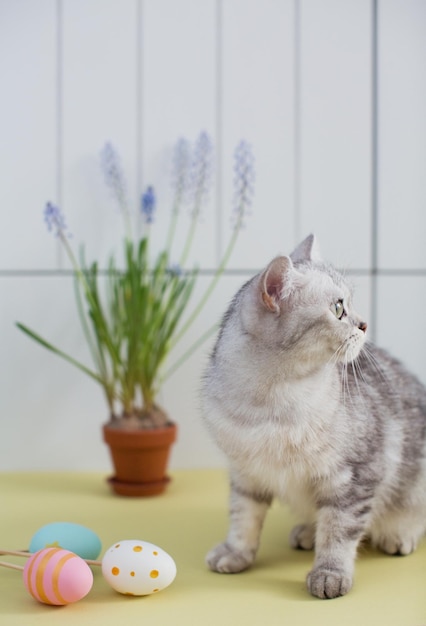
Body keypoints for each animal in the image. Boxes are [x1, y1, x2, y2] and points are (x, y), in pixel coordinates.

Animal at [202, 235, 426, 600]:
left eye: (351, 302)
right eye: (338, 309)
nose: (365, 324)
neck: (271, 405)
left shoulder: (354, 477)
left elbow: (338, 531)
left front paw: (329, 573)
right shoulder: (246, 473)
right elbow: (243, 518)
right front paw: (235, 553)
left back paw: (398, 534)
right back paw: (308, 532)